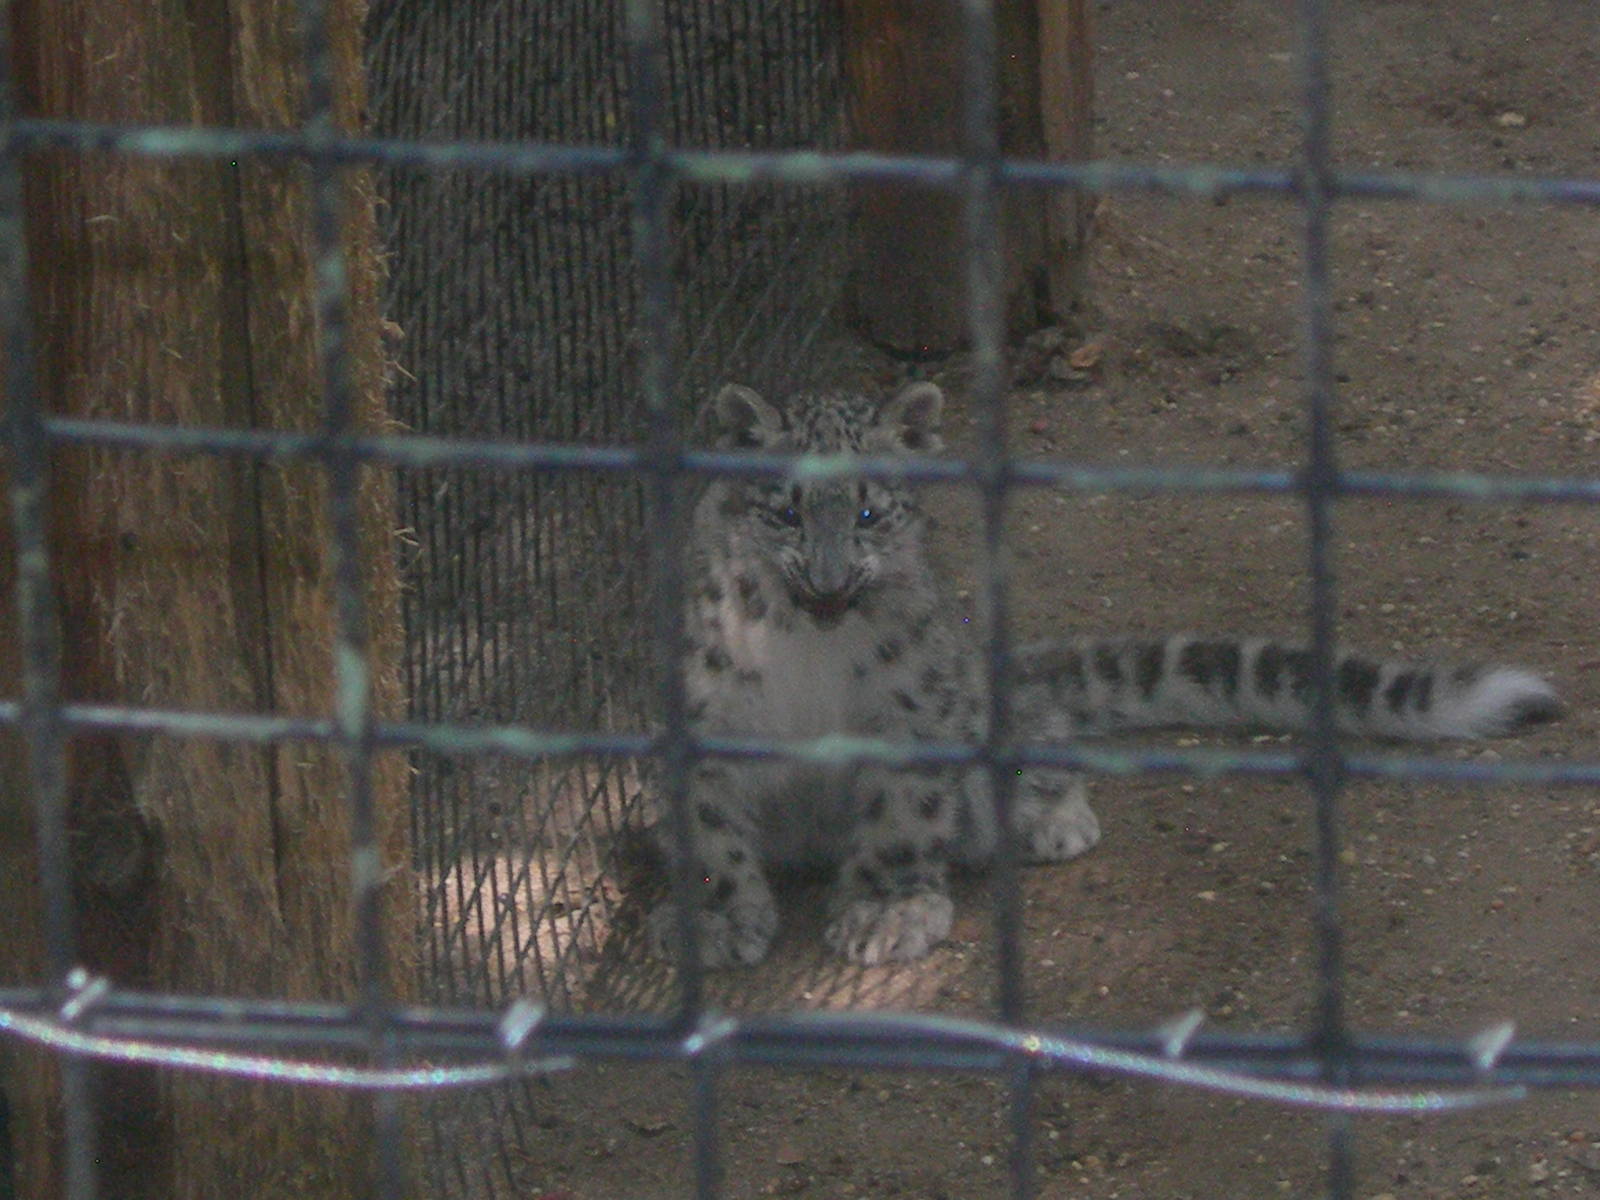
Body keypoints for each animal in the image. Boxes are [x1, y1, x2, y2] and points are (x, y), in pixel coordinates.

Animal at [644, 380, 1563, 968]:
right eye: (786, 509)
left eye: (869, 510)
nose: (831, 582)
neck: (805, 648)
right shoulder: (701, 714)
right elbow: (714, 829)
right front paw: (719, 917)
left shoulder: (910, 714)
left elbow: (901, 820)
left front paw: (886, 912)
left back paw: (1056, 823)